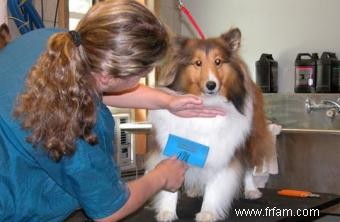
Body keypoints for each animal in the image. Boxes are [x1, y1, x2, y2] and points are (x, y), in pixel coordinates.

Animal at [145, 28, 274, 222]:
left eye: (218, 61)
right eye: (197, 63)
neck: (206, 103)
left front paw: (208, 212)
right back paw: (195, 189)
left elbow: (216, 185)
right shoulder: (170, 144)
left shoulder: (222, 149)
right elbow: (170, 183)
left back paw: (252, 190)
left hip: (249, 139)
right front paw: (167, 211)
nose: (211, 85)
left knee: (248, 168)